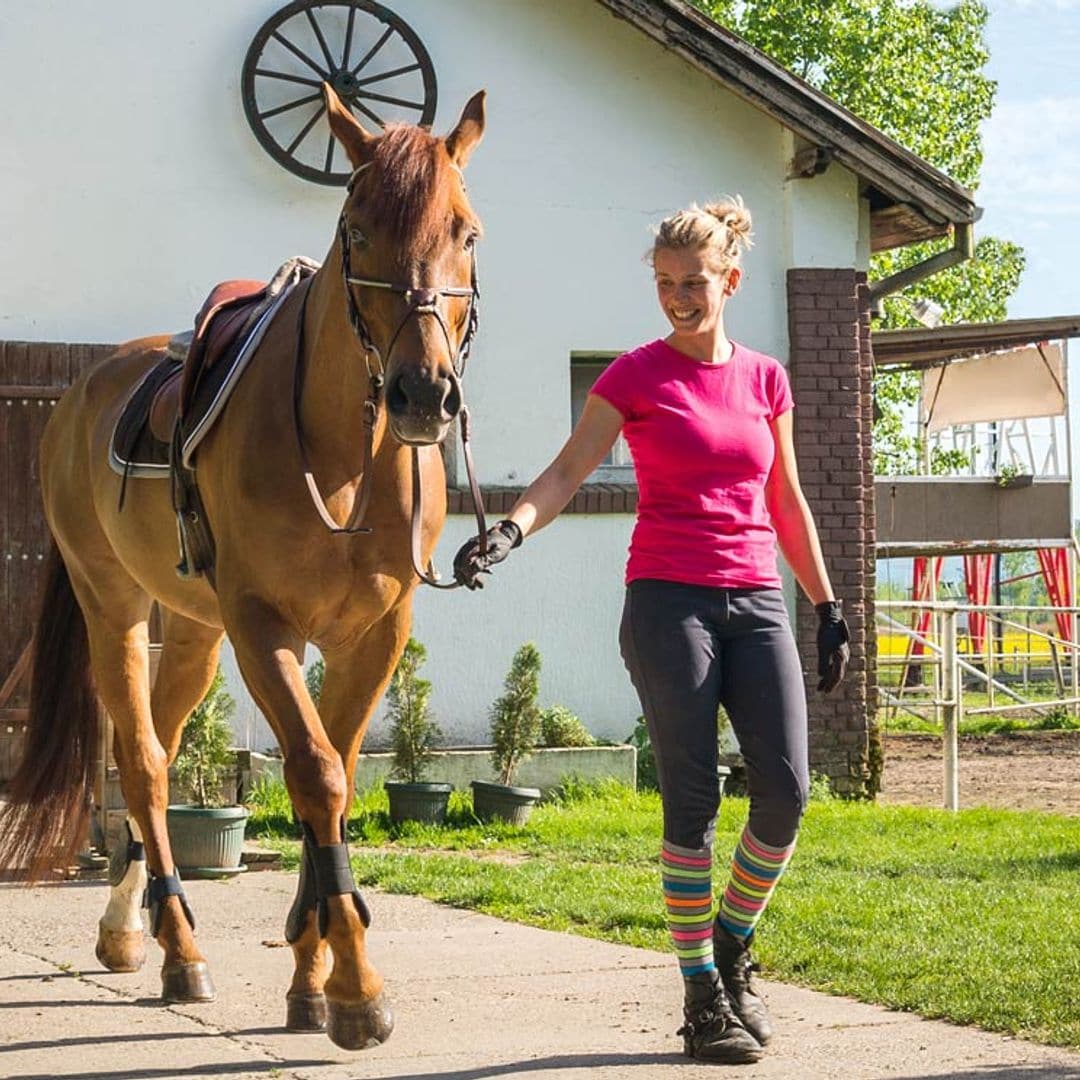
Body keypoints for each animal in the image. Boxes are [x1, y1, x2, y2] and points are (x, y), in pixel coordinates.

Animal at [0, 86, 486, 1054]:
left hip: (193, 630)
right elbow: (317, 774)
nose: (423, 394)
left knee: (157, 745)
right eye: (357, 229)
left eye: (467, 232)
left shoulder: (375, 634)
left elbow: (331, 774)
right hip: (116, 608)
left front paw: (311, 972)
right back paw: (179, 949)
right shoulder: (266, 627)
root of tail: (78, 395)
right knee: (144, 762)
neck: (345, 456)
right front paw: (357, 991)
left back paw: (129, 931)